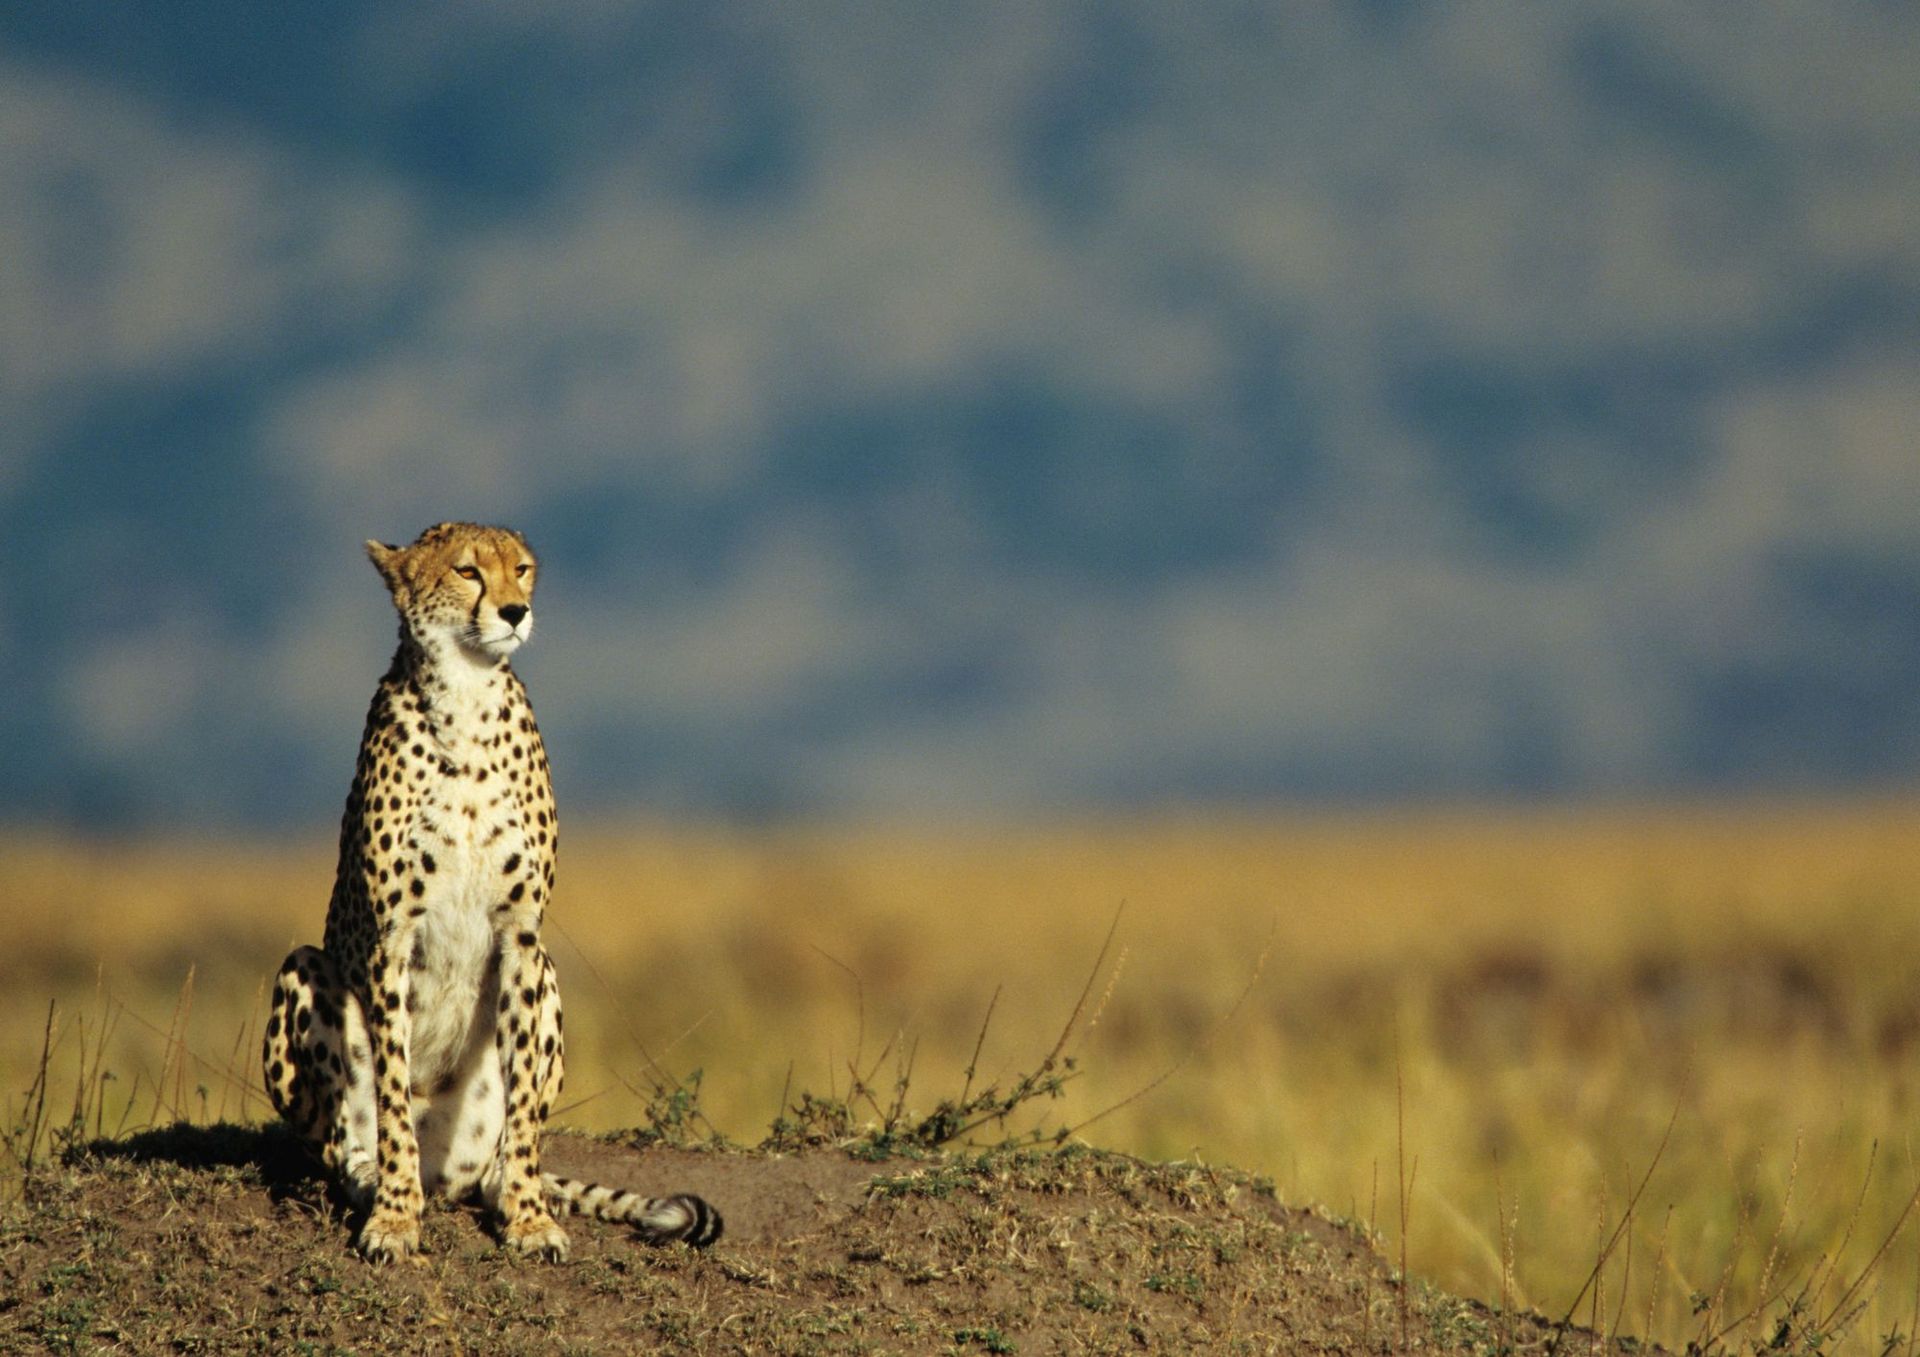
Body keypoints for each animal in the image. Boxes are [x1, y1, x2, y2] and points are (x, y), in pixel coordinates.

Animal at [262, 521, 721, 1263]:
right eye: (468, 571)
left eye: (523, 569)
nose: (514, 611)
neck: (466, 700)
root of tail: (448, 1172)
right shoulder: (392, 938)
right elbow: (392, 1091)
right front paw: (395, 1217)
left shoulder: (521, 934)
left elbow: (526, 1102)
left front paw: (529, 1217)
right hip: (302, 968)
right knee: (338, 1139)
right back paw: (374, 1177)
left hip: (547, 976)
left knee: (502, 1141)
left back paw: (503, 1183)